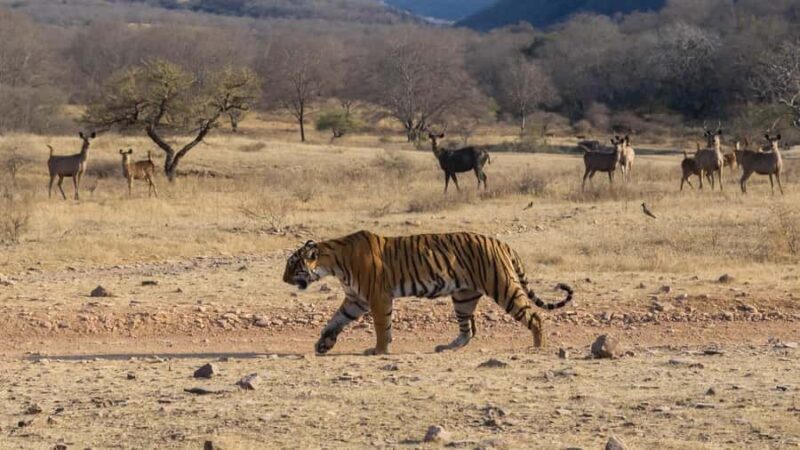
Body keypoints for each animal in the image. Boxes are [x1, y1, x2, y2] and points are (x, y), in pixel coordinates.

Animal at [282, 230, 574, 355]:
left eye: (292, 265)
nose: (283, 279)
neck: (333, 262)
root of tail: (501, 242)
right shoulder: (355, 299)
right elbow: (334, 321)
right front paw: (323, 344)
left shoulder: (377, 297)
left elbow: (381, 326)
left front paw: (379, 350)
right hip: (463, 296)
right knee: (468, 330)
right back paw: (447, 347)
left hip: (503, 287)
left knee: (534, 317)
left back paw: (538, 346)